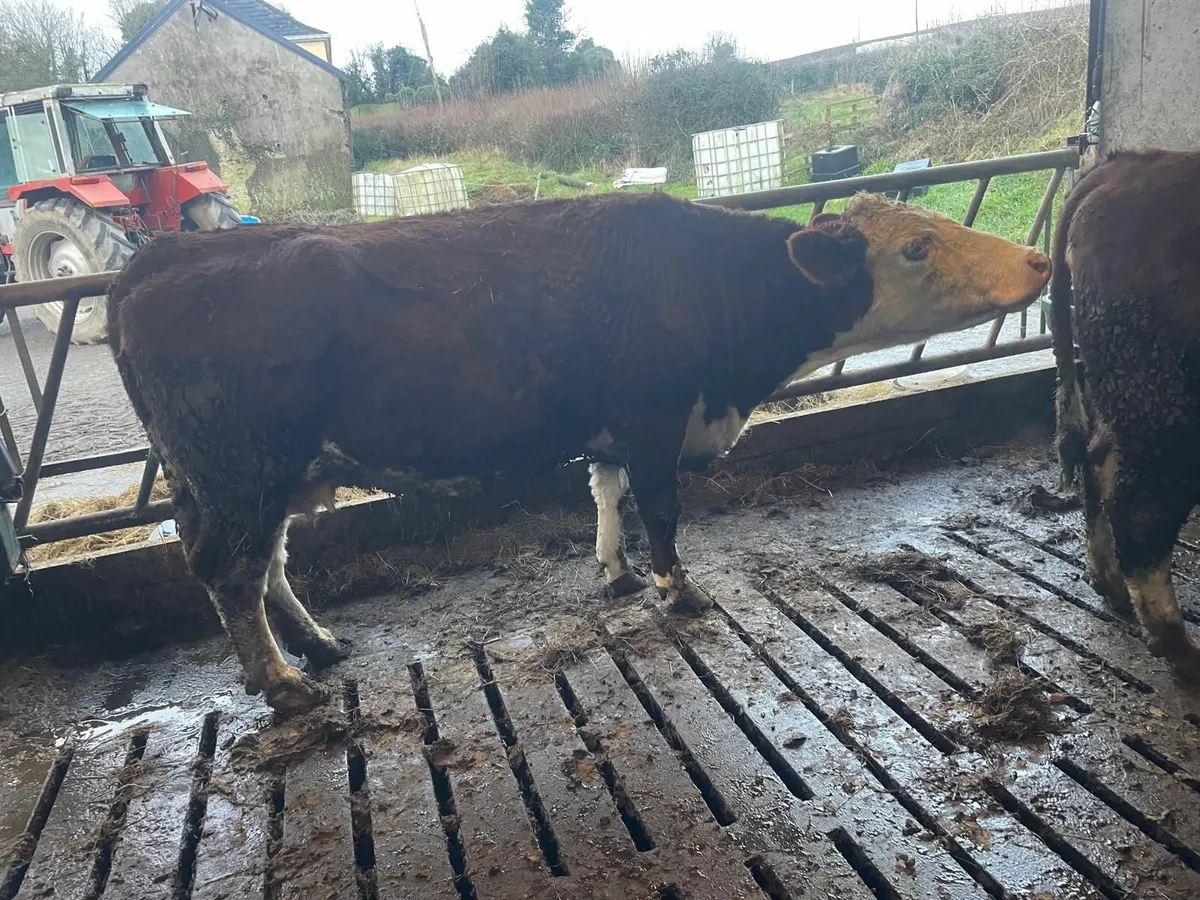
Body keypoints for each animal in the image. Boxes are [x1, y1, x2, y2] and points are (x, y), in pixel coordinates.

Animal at [107, 190, 1051, 716]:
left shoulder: (615, 428)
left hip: (260, 479)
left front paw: (615, 571)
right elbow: (661, 508)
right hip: (240, 471)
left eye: (930, 226)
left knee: (264, 564)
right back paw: (282, 683)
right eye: (917, 247)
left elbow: (605, 492)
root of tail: (166, 253)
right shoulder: (654, 417)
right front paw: (678, 591)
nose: (1040, 261)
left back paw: (318, 647)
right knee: (230, 571)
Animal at [1051, 149, 1200, 683]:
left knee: (1099, 462)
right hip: (1167, 410)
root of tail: (1126, 164)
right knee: (1140, 513)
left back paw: (1108, 582)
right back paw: (1181, 650)